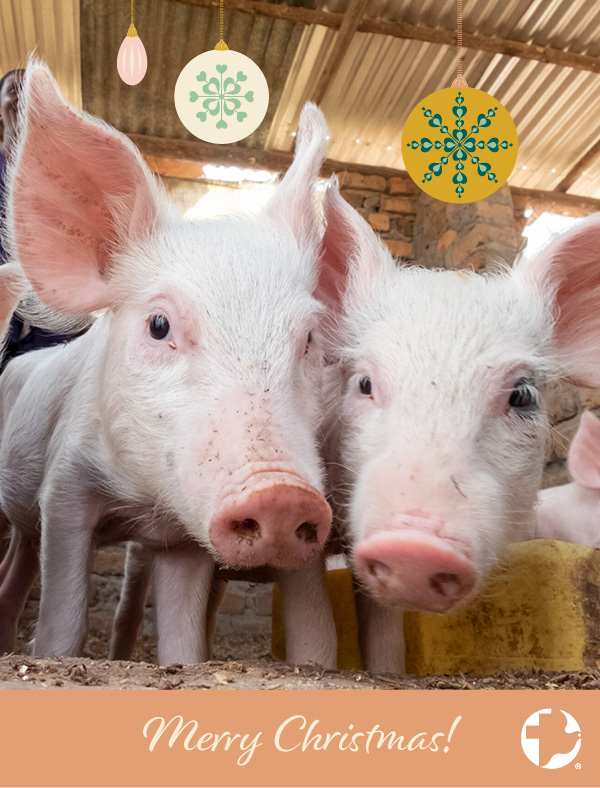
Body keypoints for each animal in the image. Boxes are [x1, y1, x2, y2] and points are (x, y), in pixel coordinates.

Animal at [0, 61, 337, 667]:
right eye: (159, 325)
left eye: (308, 338)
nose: (280, 493)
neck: (141, 501)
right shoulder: (62, 490)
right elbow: (63, 619)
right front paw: (56, 655)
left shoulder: (182, 539)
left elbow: (182, 639)